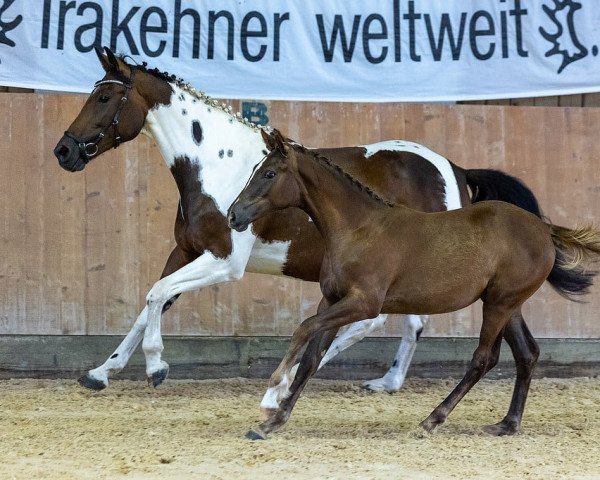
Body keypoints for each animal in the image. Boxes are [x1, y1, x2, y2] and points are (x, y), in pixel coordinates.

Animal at [229, 130, 600, 438]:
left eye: (269, 173)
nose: (234, 215)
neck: (359, 228)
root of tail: (544, 229)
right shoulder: (331, 300)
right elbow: (311, 358)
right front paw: (272, 422)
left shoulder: (364, 303)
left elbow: (303, 329)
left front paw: (273, 391)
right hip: (507, 304)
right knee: (527, 353)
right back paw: (507, 424)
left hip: (499, 304)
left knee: (484, 358)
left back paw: (432, 420)